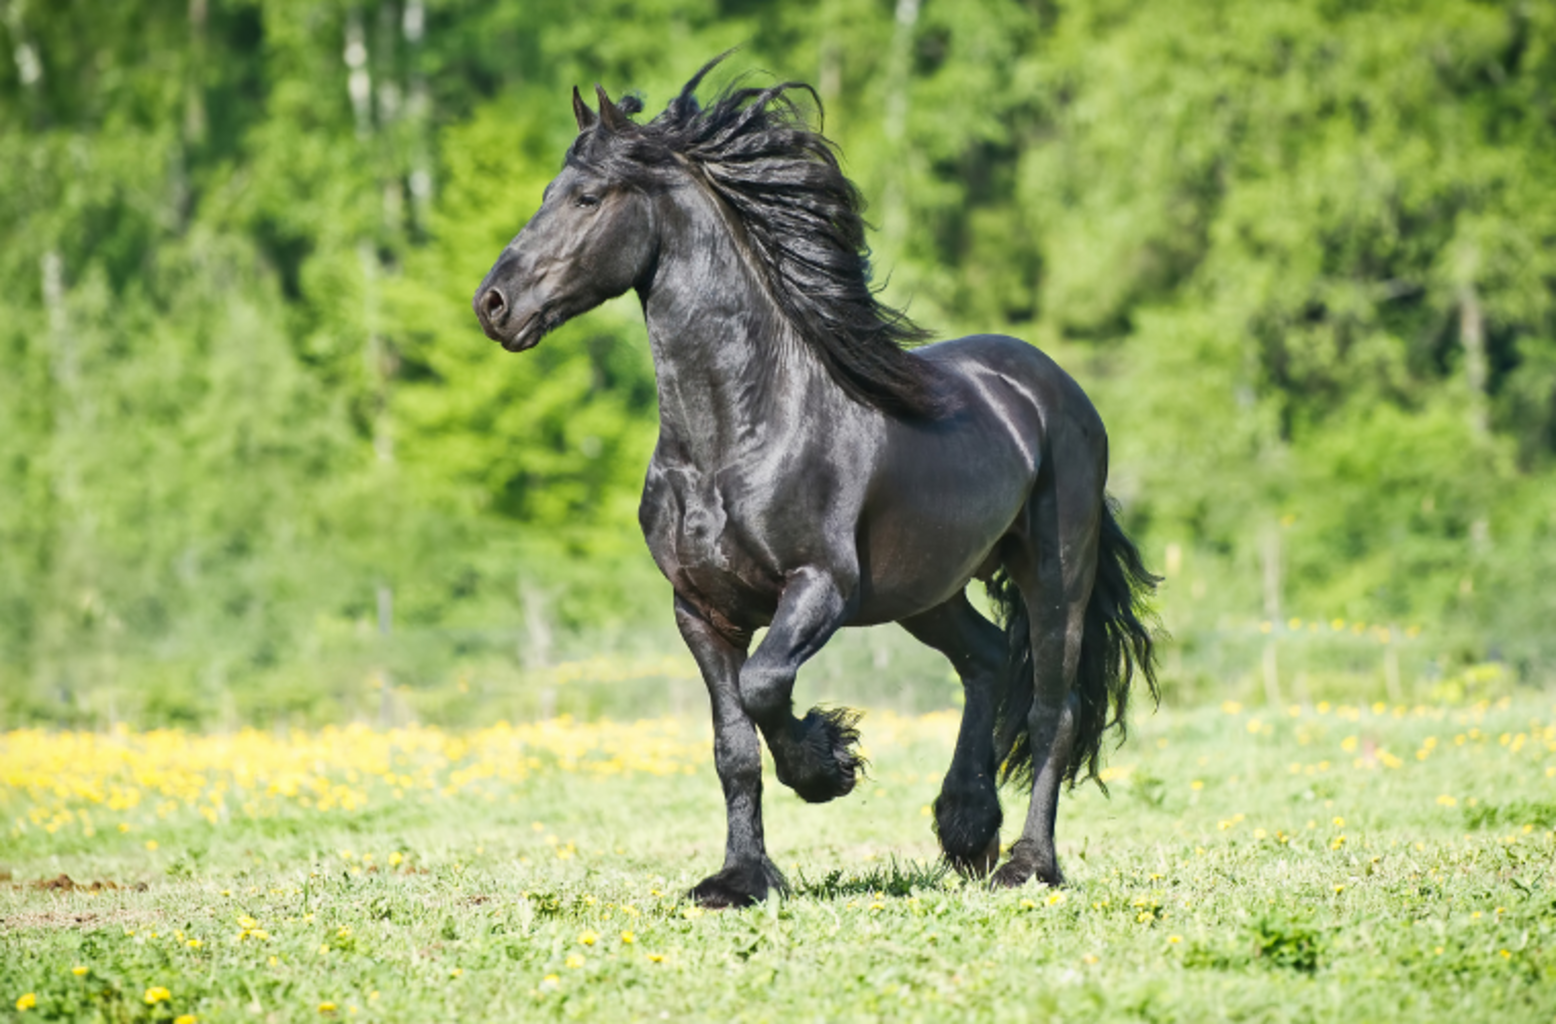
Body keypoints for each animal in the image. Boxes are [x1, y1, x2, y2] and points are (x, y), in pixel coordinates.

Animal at [473, 57, 1157, 902]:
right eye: (547, 192)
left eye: (588, 198)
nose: (493, 305)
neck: (737, 437)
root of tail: (1054, 387)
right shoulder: (700, 610)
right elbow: (732, 746)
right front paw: (739, 878)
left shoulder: (820, 587)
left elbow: (766, 686)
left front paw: (827, 765)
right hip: (927, 589)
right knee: (988, 659)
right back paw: (966, 827)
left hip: (1056, 574)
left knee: (1051, 711)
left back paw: (1027, 863)